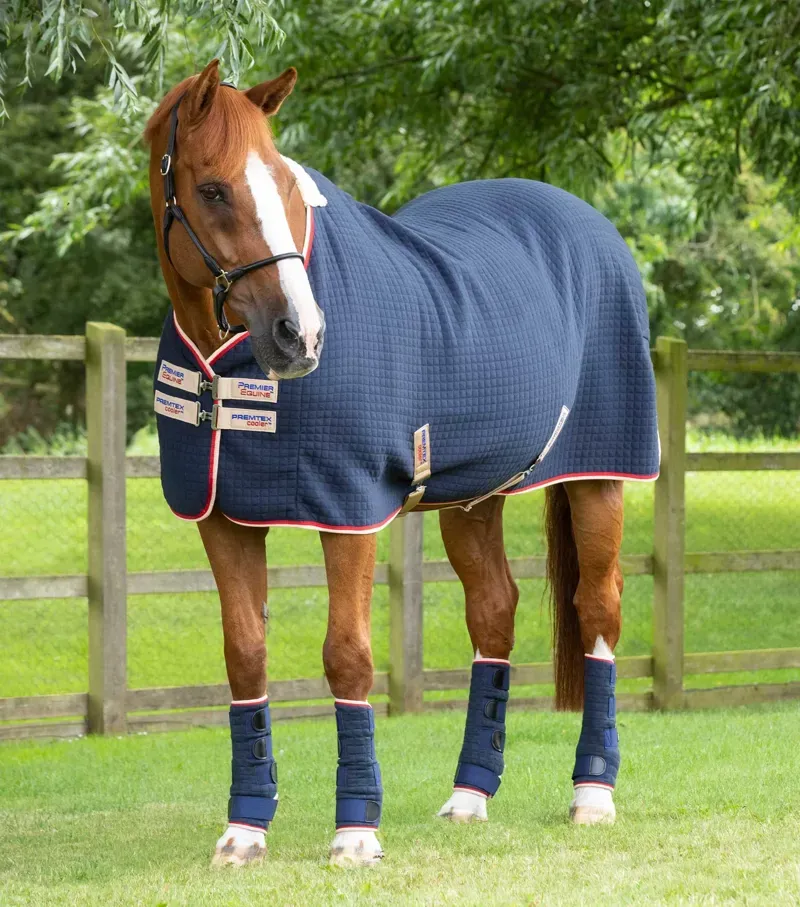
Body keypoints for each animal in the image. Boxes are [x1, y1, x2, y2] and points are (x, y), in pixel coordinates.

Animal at [144, 59, 659, 868]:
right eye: (215, 189)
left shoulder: (348, 511)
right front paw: (244, 829)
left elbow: (348, 655)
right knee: (494, 613)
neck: (225, 365)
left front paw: (356, 831)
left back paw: (593, 793)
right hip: (473, 497)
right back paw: (470, 795)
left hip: (601, 478)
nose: (300, 334)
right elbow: (245, 656)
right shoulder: (222, 517)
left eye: (287, 185)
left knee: (599, 611)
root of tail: (588, 221)